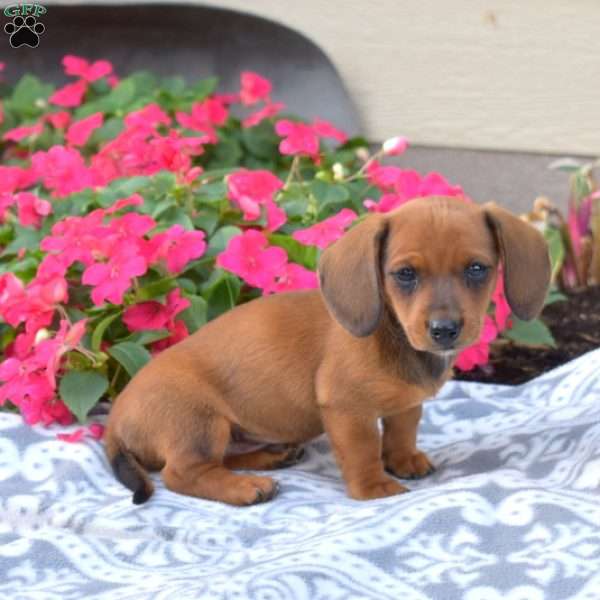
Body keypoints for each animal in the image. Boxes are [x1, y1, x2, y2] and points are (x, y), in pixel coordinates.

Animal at [104, 198, 548, 506]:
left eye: (477, 268)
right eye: (405, 274)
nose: (444, 330)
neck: (391, 333)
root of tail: (114, 418)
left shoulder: (406, 403)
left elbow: (403, 431)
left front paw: (405, 460)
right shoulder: (348, 409)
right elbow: (364, 451)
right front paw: (375, 487)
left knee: (222, 459)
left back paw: (270, 459)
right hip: (199, 422)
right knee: (183, 473)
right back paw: (246, 488)